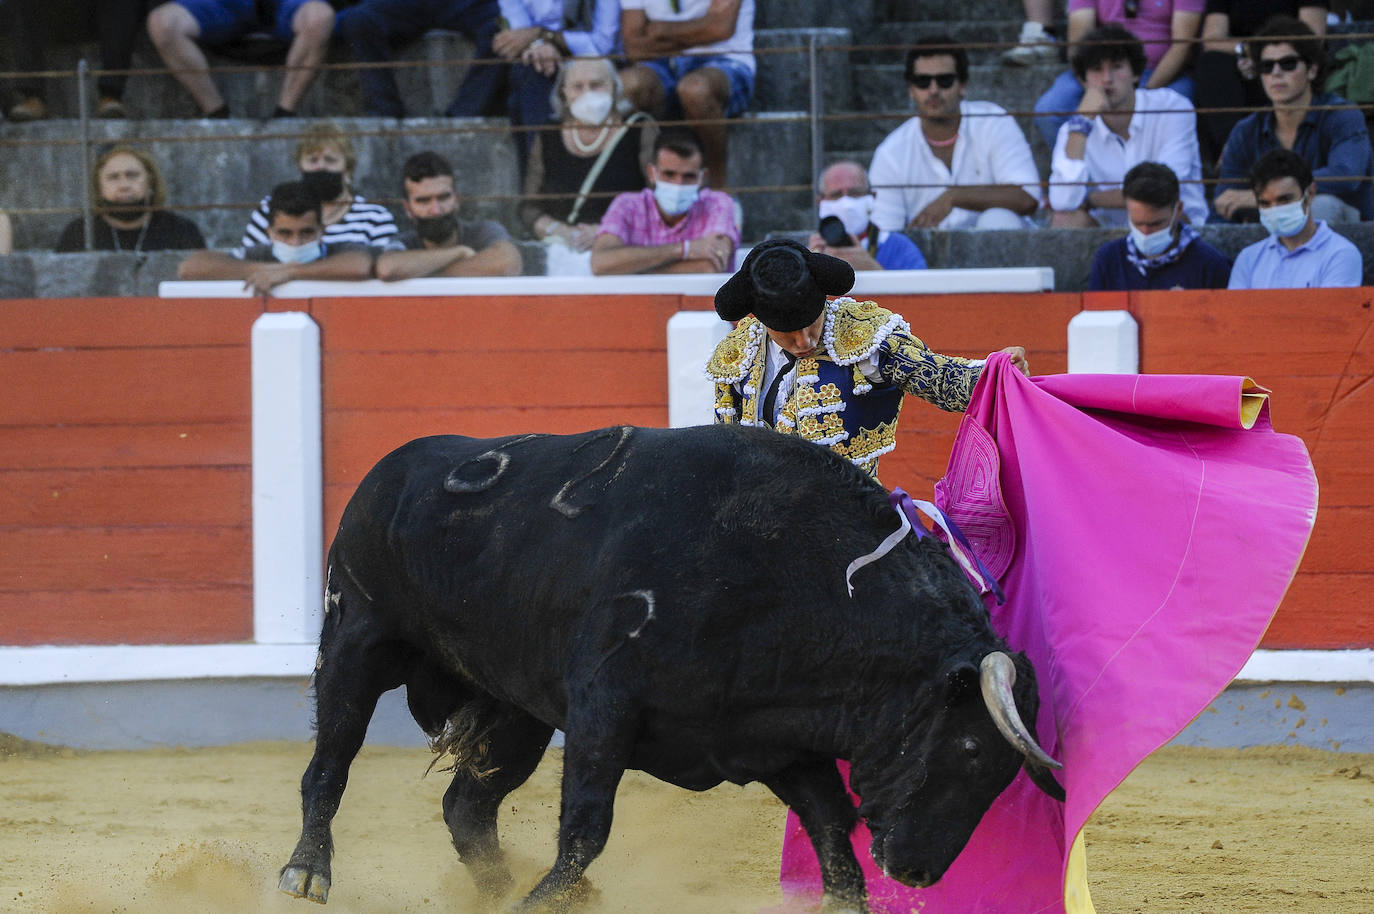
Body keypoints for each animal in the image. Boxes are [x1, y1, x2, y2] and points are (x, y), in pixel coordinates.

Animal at [273, 423, 1055, 907]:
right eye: (969, 749)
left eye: (1003, 771)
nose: (918, 871)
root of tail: (391, 468)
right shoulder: (604, 706)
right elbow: (587, 827)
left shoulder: (778, 743)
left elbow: (835, 840)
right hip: (356, 638)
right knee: (329, 765)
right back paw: (305, 873)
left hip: (517, 710)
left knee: (467, 805)